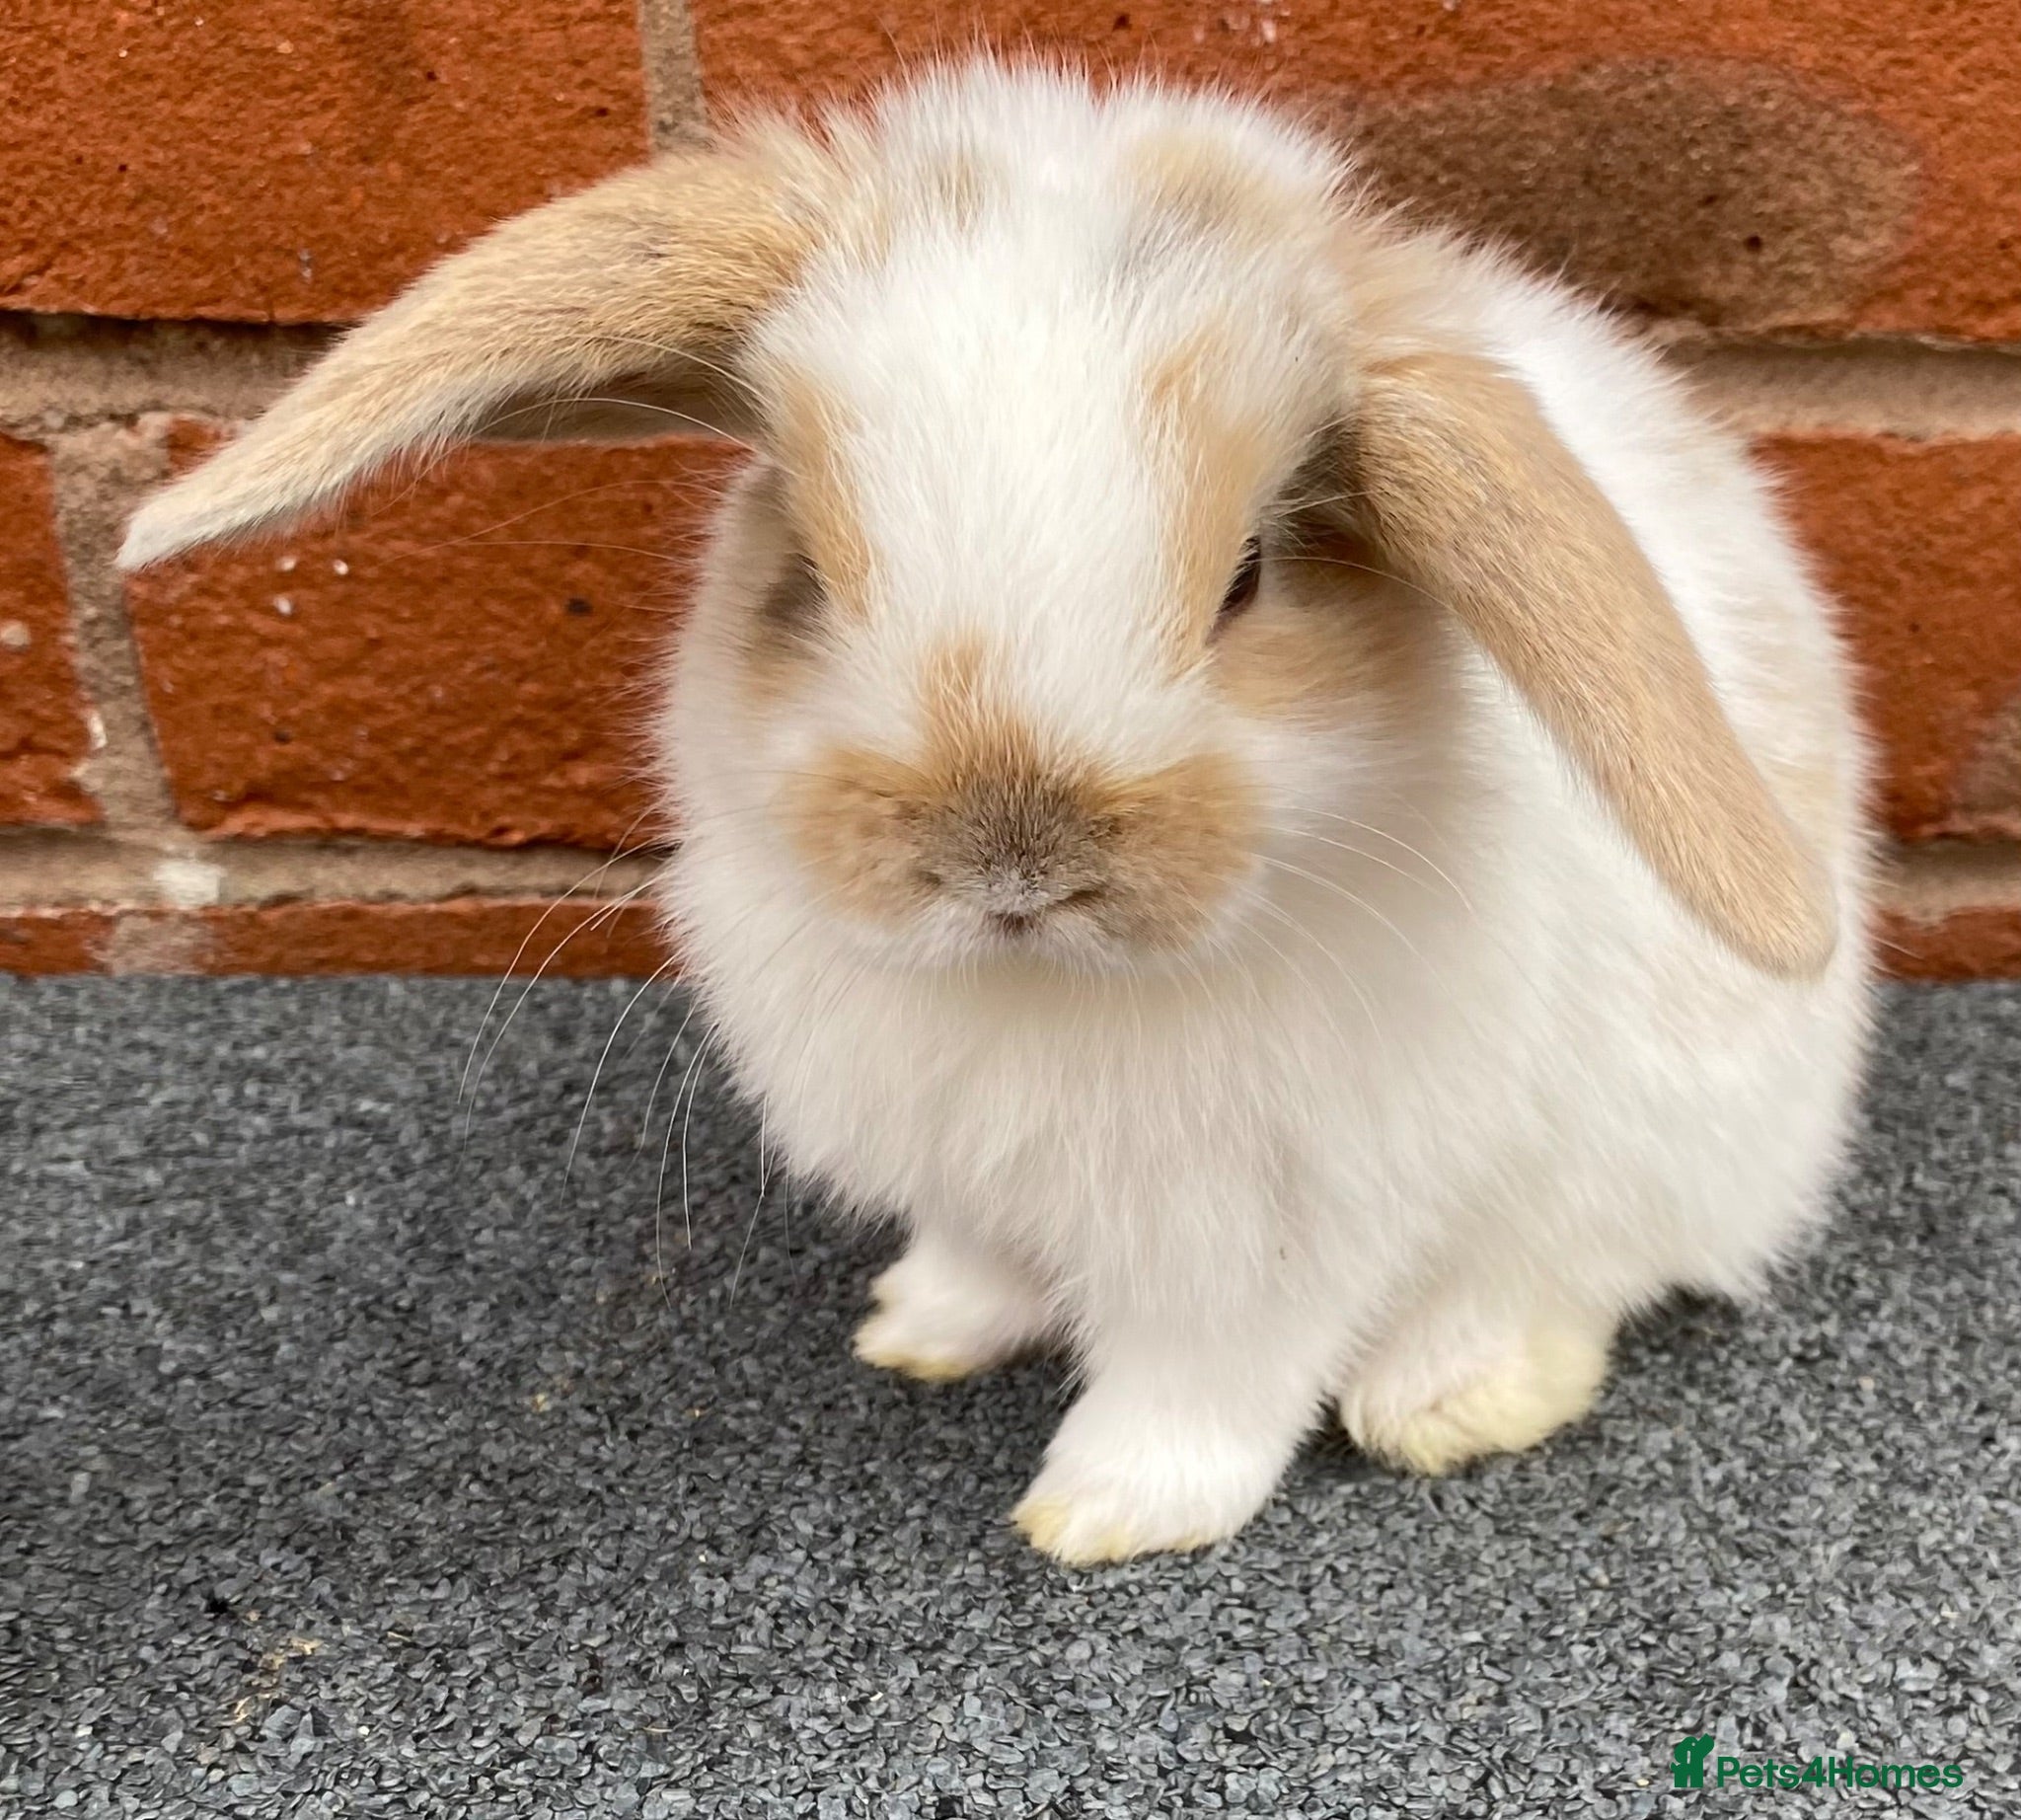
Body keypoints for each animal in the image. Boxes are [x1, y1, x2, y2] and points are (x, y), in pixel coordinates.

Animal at [121, 60, 1873, 1564]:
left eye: (1250, 578)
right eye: (806, 570)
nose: (1010, 855)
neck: (1033, 988)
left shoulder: (1260, 1229)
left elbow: (1205, 1384)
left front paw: (1104, 1515)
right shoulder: (969, 1168)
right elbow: (979, 1260)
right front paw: (921, 1333)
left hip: (1657, 1139)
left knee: (1585, 1271)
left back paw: (1450, 1397)